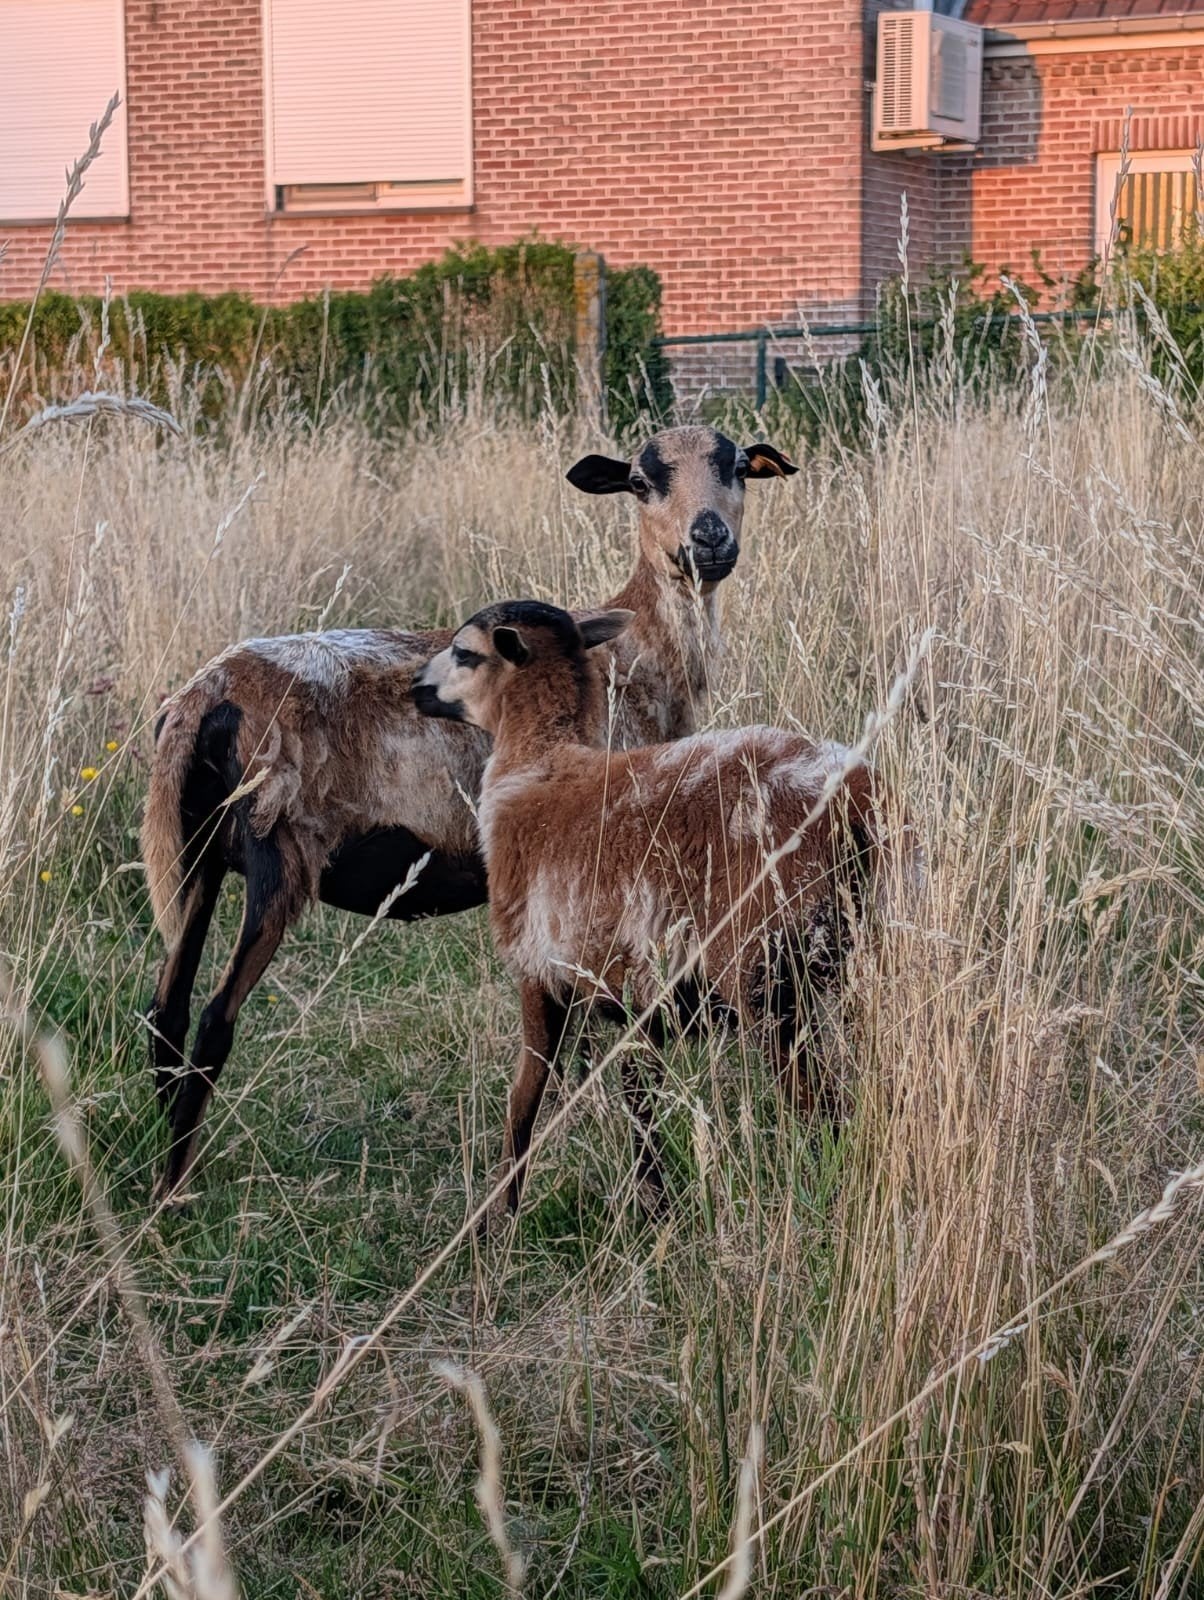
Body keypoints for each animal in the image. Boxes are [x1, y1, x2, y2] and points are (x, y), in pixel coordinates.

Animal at [142, 426, 798, 1197]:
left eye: (737, 467)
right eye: (641, 482)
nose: (708, 539)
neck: (636, 667)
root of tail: (201, 697)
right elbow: (627, 1053)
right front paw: (652, 1192)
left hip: (197, 856)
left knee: (167, 1009)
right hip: (277, 853)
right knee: (214, 1020)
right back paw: (173, 1193)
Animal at [411, 599, 917, 1215]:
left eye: (463, 652)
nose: (415, 687)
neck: (535, 767)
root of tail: (857, 797)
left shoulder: (537, 967)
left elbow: (528, 1092)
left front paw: (498, 1212)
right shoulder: (641, 993)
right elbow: (639, 1092)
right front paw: (654, 1200)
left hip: (764, 973)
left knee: (816, 1099)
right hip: (860, 953)